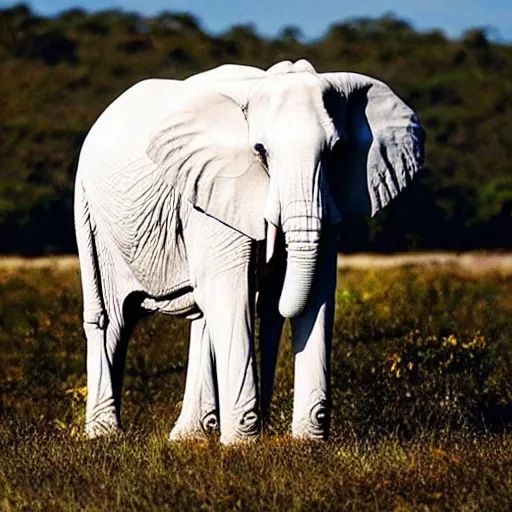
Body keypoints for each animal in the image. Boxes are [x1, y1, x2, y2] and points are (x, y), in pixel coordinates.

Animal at [73, 59, 424, 444]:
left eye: (335, 151)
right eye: (260, 150)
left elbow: (318, 290)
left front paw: (307, 443)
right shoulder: (209, 190)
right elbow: (231, 289)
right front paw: (243, 445)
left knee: (201, 315)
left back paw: (189, 437)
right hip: (89, 211)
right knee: (111, 317)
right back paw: (104, 436)